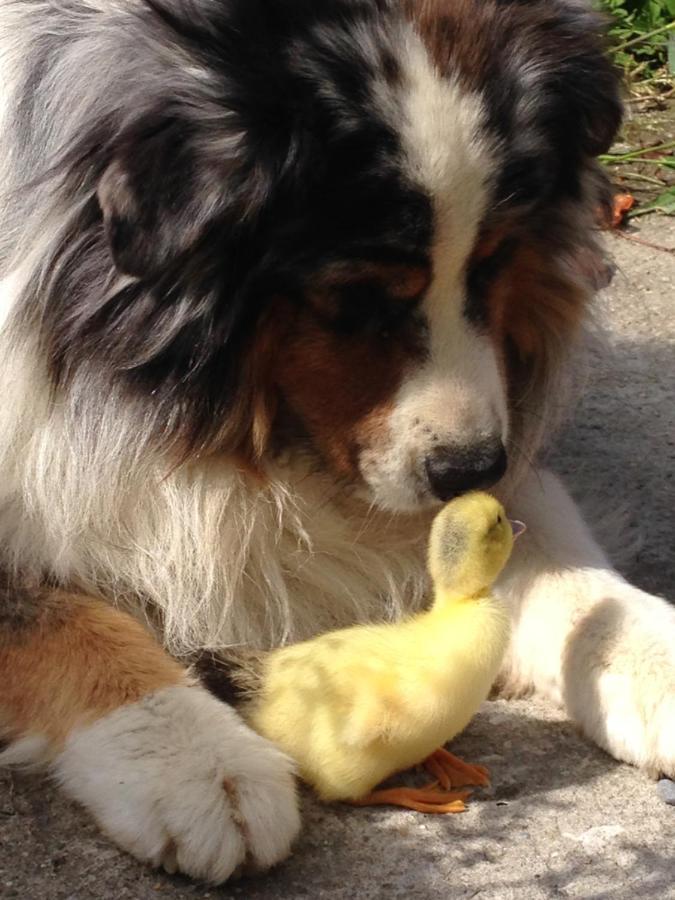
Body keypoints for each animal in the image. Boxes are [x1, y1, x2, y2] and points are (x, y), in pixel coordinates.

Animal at [0, 0, 672, 884]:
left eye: (494, 260)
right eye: (354, 295)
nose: (469, 469)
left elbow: (557, 559)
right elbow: (51, 613)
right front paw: (197, 760)